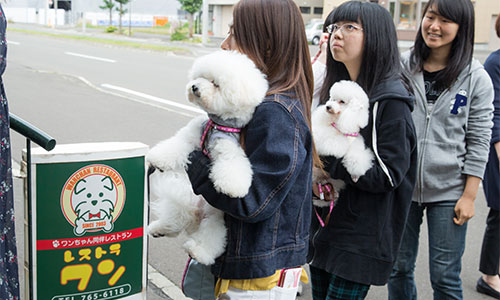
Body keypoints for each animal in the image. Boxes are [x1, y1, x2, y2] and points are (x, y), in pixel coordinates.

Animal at [146, 51, 268, 264]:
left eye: (215, 83)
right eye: (200, 77)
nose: (195, 87)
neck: (215, 125)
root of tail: (196, 214)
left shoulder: (229, 147)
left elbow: (232, 166)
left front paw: (232, 188)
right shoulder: (192, 135)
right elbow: (176, 145)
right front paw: (157, 158)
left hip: (215, 219)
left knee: (211, 239)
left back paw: (198, 251)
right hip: (185, 198)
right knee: (175, 220)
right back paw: (158, 229)